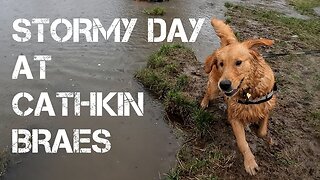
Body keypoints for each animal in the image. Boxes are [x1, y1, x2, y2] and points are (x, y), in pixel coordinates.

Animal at [201, 18, 276, 176]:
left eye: (238, 62)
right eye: (221, 64)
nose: (224, 85)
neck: (250, 90)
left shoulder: (267, 105)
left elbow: (262, 131)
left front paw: (259, 131)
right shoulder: (234, 117)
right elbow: (242, 143)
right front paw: (250, 162)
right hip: (214, 88)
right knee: (208, 91)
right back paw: (204, 102)